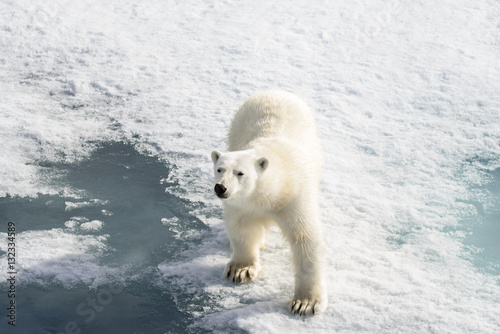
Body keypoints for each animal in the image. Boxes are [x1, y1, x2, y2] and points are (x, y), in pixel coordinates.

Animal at [209, 90, 326, 316]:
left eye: (240, 173)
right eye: (219, 169)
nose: (221, 188)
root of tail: (274, 92)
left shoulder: (294, 198)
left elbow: (305, 238)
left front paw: (305, 303)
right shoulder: (243, 205)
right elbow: (241, 229)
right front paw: (241, 270)